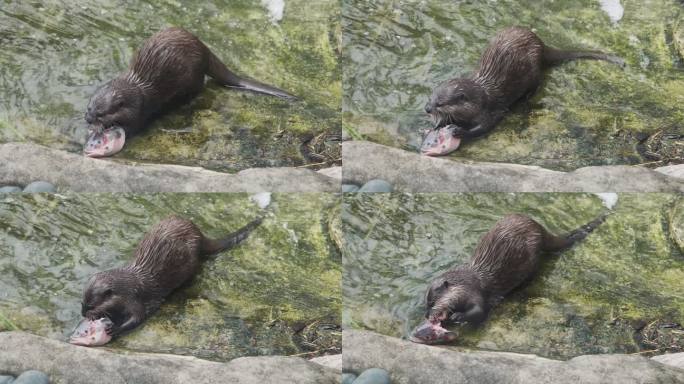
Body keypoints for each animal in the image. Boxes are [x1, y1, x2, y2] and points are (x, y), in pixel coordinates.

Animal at [80, 216, 260, 340]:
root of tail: (199, 234)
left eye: (91, 304)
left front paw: (116, 329)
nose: (82, 313)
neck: (128, 285)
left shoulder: (134, 298)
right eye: (83, 302)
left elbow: (138, 317)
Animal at [84, 26, 296, 158]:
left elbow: (133, 127)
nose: (87, 119)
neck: (136, 91)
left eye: (101, 113)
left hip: (192, 77)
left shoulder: (139, 110)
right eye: (88, 108)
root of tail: (204, 50)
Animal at [408, 213, 608, 344]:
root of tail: (538, 228)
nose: (427, 315)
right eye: (426, 304)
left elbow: (479, 311)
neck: (466, 282)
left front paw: (458, 316)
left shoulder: (474, 292)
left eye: (432, 302)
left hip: (532, 258)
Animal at [420, 26, 624, 156]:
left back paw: (526, 100)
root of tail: (542, 45)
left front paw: (460, 131)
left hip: (533, 71)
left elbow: (485, 126)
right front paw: (437, 126)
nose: (427, 108)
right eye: (431, 97)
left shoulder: (492, 109)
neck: (482, 98)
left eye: (440, 103)